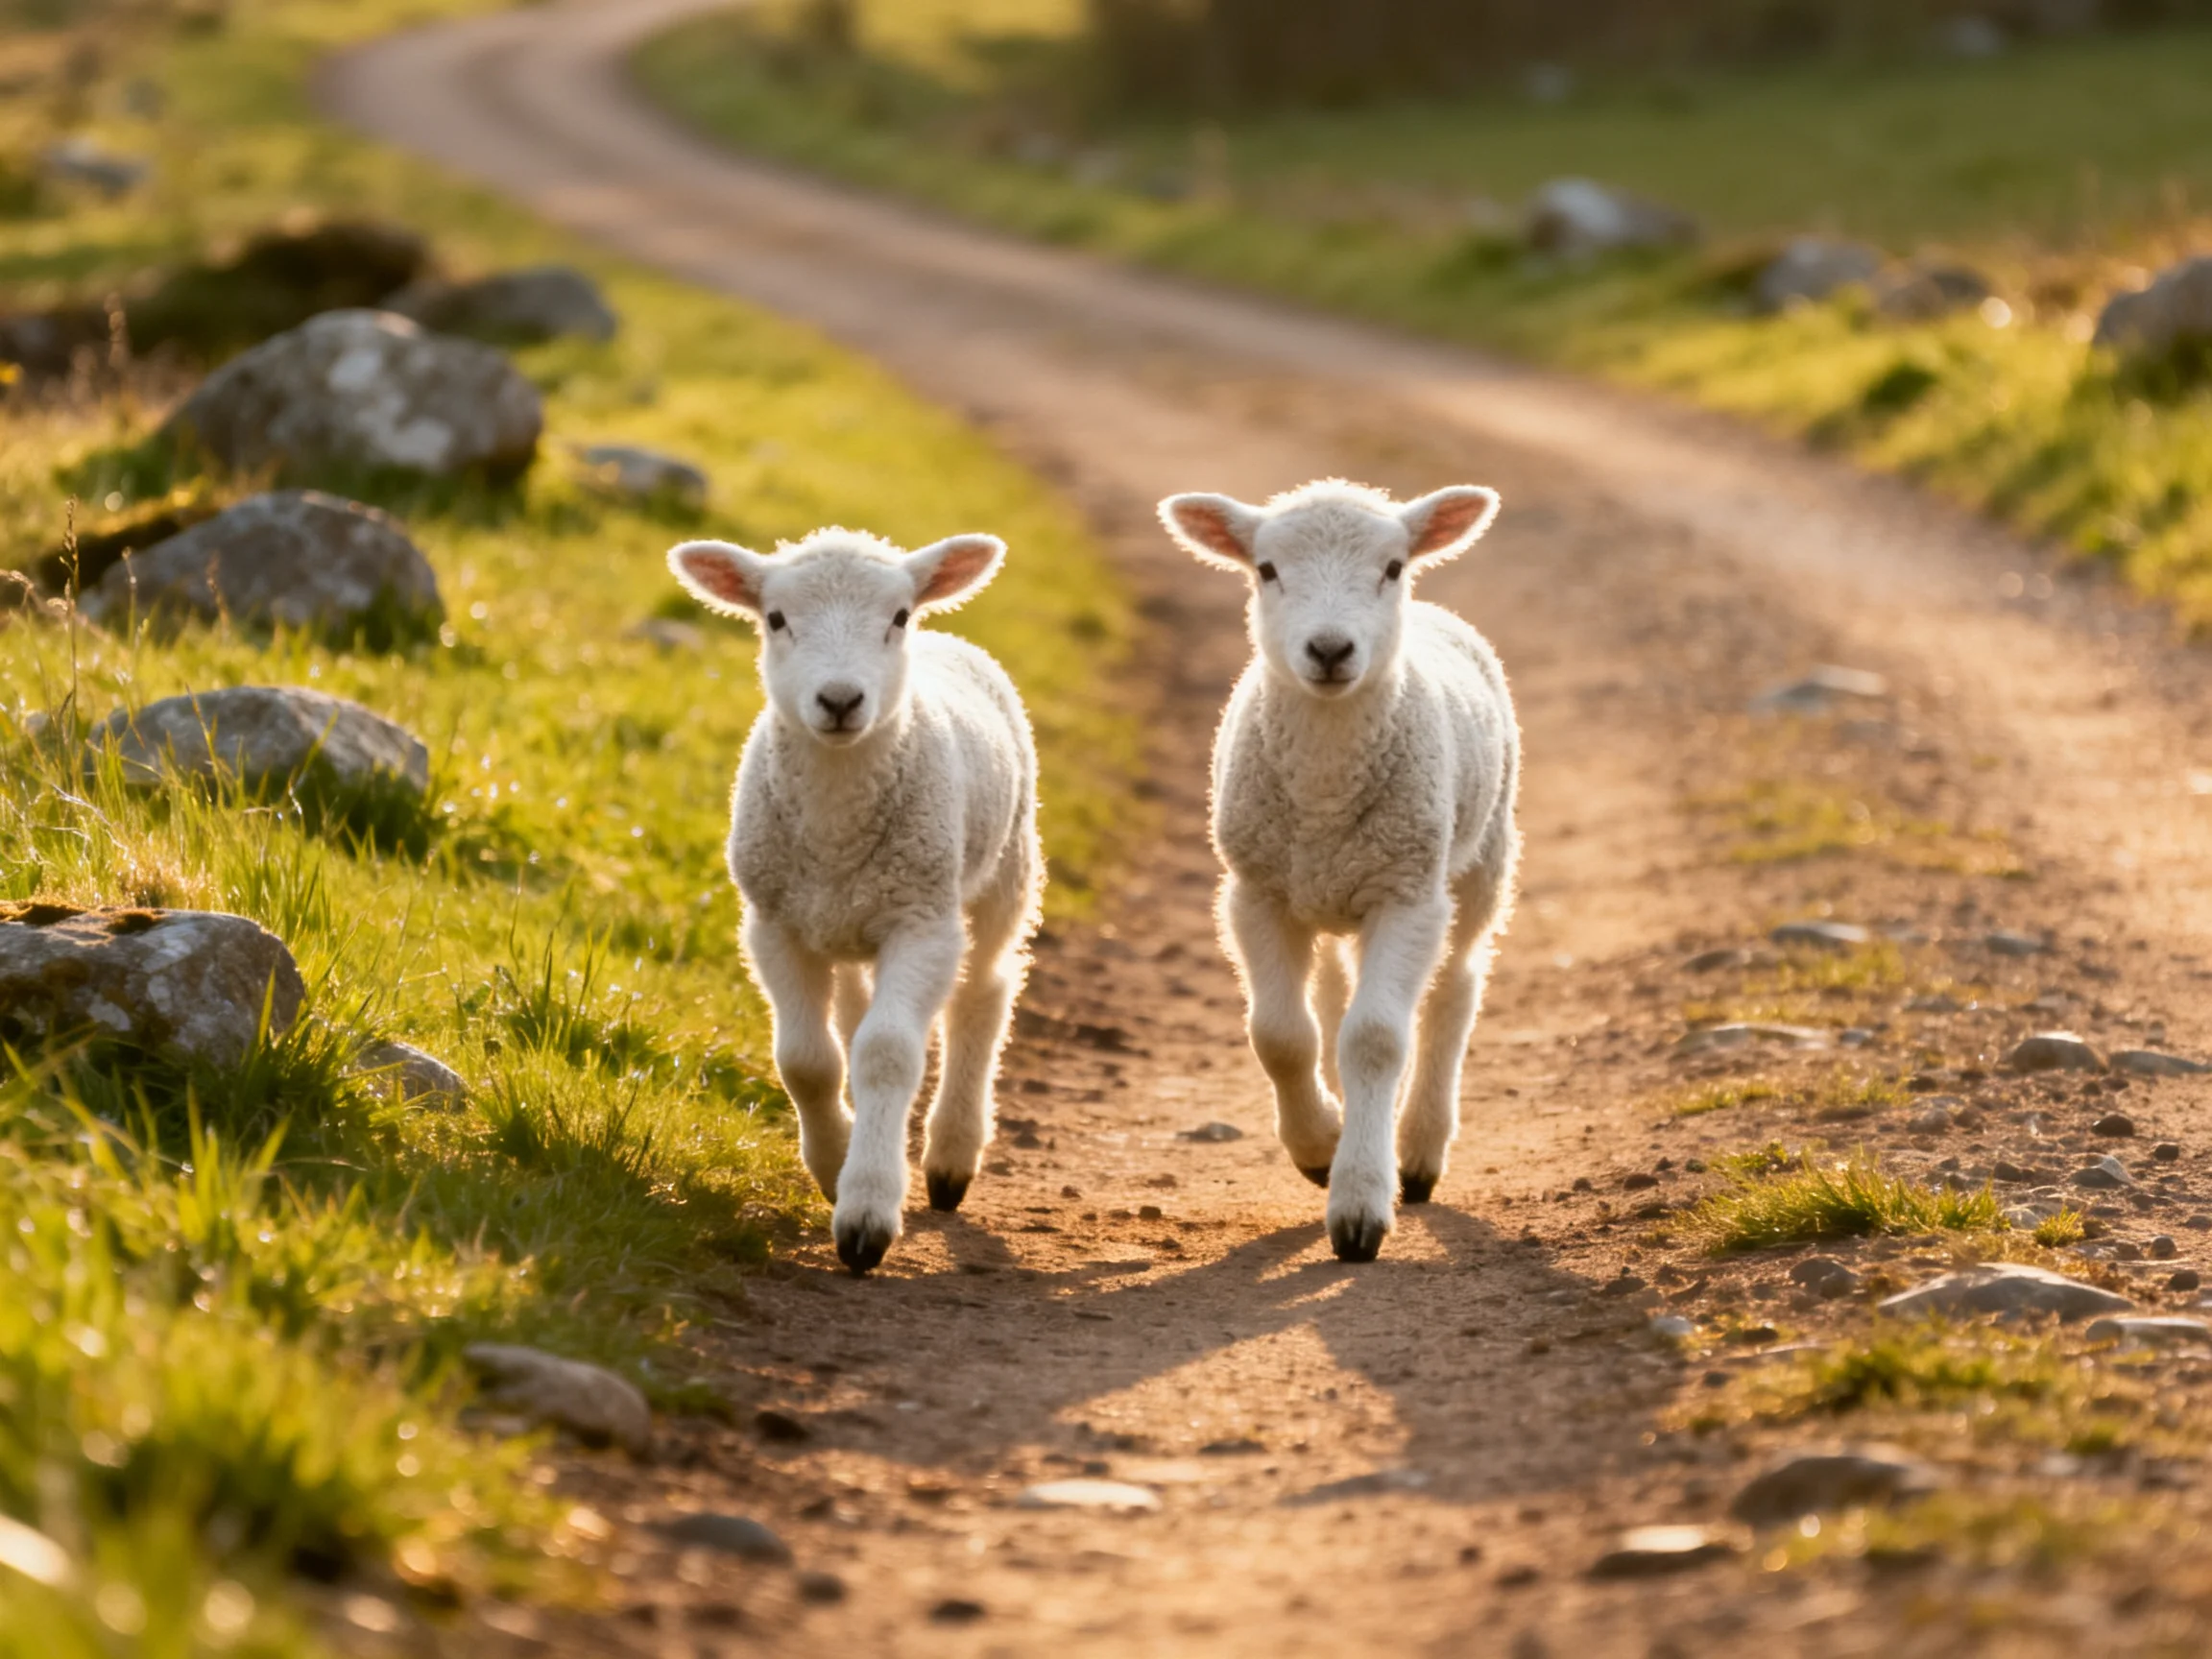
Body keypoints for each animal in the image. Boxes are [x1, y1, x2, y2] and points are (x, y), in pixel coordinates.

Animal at [668, 527, 1043, 1274]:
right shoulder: (774, 924)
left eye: (897, 616)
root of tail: (949, 638)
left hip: (1001, 874)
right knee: (851, 1014)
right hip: (840, 922)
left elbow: (888, 1052)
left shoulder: (922, 923)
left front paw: (866, 1209)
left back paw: (951, 1155)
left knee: (983, 994)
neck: (836, 822)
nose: (841, 700)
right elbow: (808, 1061)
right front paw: (835, 1162)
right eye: (775, 619)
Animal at [1159, 479, 1520, 1263]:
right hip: (1324, 891)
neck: (1326, 783)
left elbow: (1376, 1038)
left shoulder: (1406, 895)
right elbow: (1280, 1035)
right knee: (1329, 998)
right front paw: (1319, 1144)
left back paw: (1417, 1149)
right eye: (1266, 569)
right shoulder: (1255, 892)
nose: (1329, 649)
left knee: (1453, 991)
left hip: (1479, 862)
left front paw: (1359, 1202)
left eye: (1392, 567)